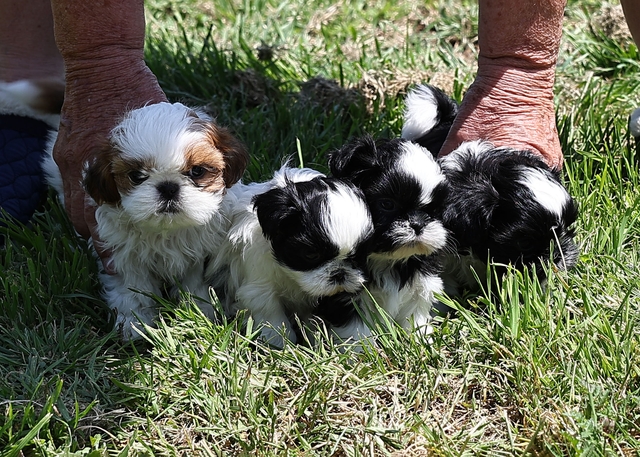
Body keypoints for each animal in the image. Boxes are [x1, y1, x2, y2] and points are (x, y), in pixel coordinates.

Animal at [43, 102, 249, 340]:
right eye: (137, 176)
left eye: (197, 171)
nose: (168, 187)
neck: (165, 231)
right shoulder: (123, 256)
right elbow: (134, 288)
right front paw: (134, 322)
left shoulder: (198, 253)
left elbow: (194, 280)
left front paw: (200, 310)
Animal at [207, 166, 374, 348]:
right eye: (311, 254)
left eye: (358, 256)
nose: (339, 274)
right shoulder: (260, 285)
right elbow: (270, 313)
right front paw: (279, 343)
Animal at [325, 135, 449, 337]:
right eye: (387, 204)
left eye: (433, 209)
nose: (417, 224)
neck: (387, 260)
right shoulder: (347, 292)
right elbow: (356, 329)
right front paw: (363, 346)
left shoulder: (422, 286)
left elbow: (415, 316)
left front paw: (421, 339)